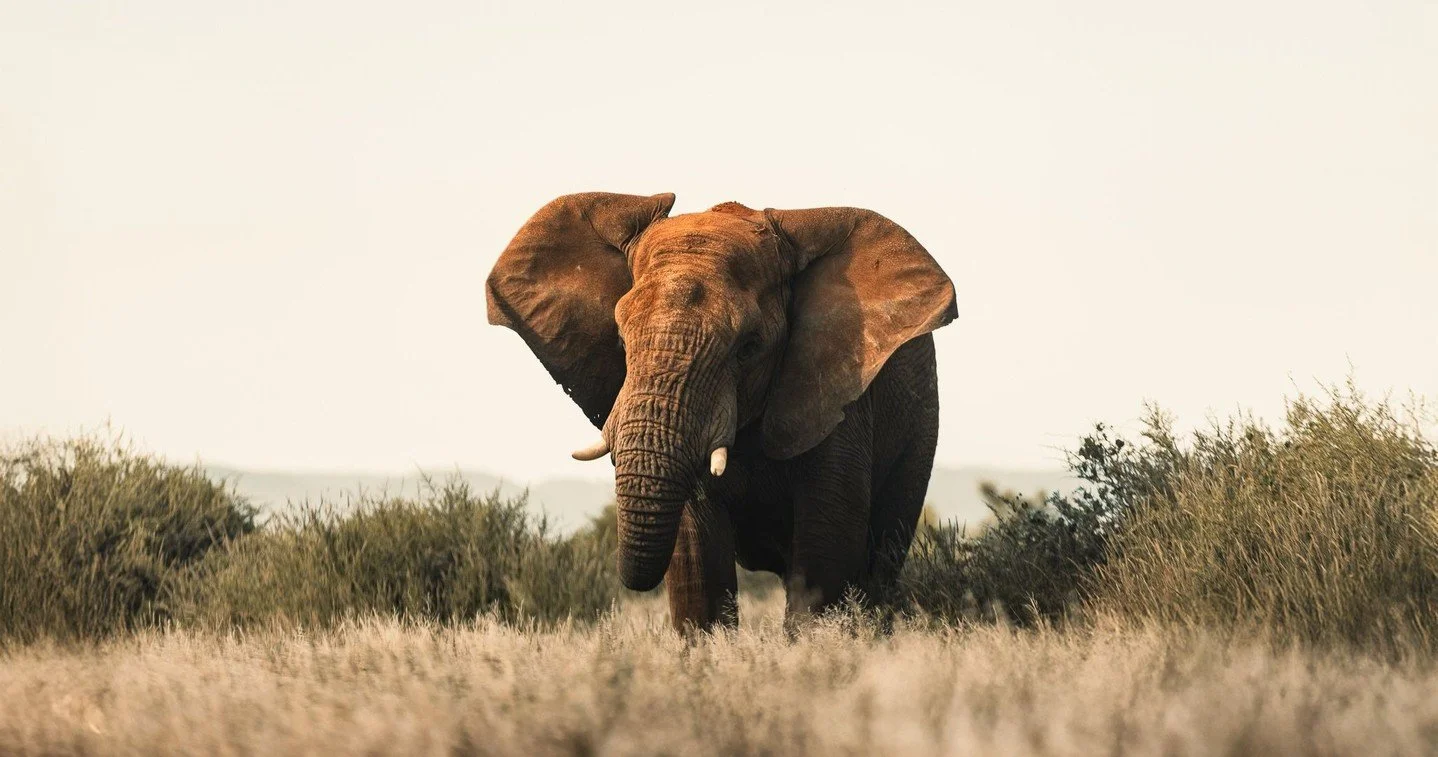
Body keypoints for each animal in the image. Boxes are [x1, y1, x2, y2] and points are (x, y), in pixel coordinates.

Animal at [486, 192, 957, 631]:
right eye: (620, 339)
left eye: (748, 347)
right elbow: (698, 562)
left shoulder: (837, 393)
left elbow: (825, 554)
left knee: (880, 562)